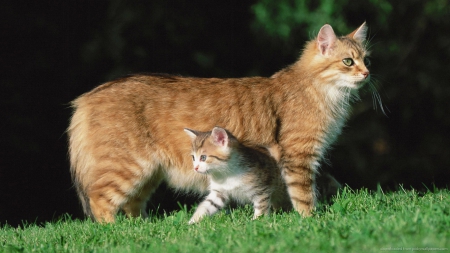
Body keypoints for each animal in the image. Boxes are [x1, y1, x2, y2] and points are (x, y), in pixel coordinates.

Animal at [67, 22, 370, 222]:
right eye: (348, 61)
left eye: (367, 59)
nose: (367, 73)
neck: (322, 91)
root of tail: (86, 97)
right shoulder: (299, 157)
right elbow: (304, 195)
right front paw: (309, 220)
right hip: (127, 168)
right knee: (100, 202)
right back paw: (117, 231)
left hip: (148, 174)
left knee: (132, 207)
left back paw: (142, 227)